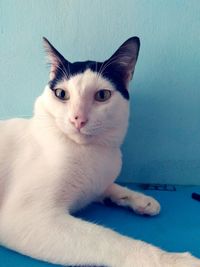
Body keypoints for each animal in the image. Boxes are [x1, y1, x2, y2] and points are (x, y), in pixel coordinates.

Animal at [0, 36, 199, 267]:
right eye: (61, 94)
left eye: (102, 95)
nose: (78, 119)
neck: (92, 153)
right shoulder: (27, 218)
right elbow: (110, 241)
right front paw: (173, 259)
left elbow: (108, 186)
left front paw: (140, 199)